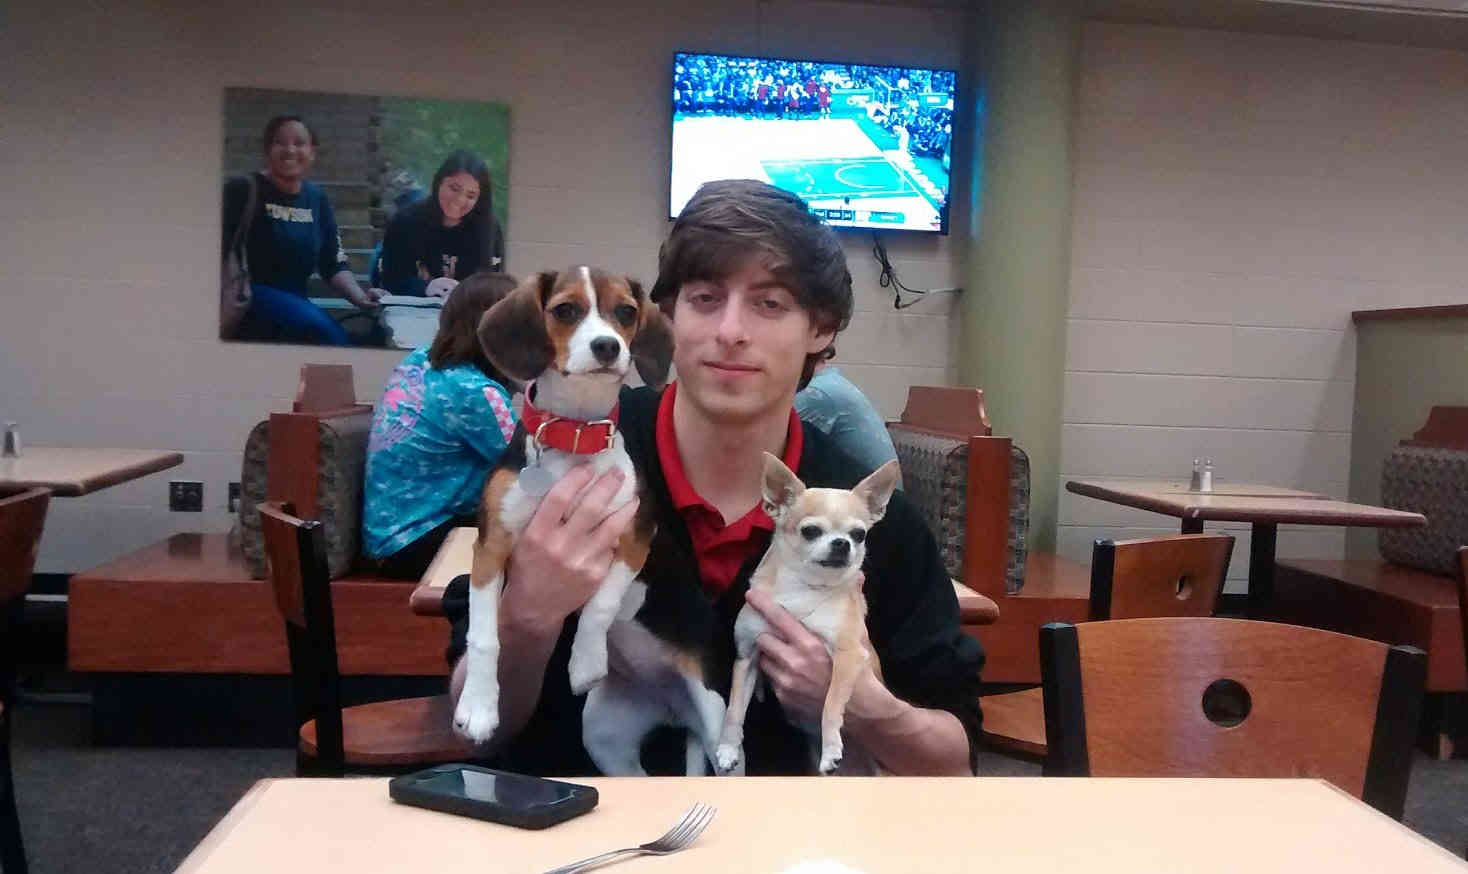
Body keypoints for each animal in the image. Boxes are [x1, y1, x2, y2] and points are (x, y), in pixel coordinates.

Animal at [452, 267, 674, 746]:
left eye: (626, 312)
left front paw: (586, 663)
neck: (574, 433)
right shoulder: (491, 547)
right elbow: (484, 636)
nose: (608, 346)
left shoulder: (636, 534)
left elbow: (601, 605)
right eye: (566, 310)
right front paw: (478, 707)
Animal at [716, 453, 901, 775]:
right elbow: (734, 709)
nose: (842, 543)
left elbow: (830, 704)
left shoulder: (848, 656)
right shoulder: (747, 656)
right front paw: (727, 748)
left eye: (859, 534)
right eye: (810, 531)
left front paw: (831, 750)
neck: (803, 587)